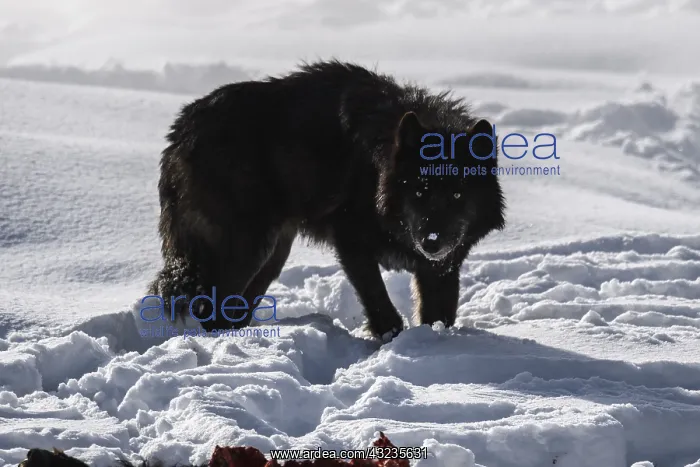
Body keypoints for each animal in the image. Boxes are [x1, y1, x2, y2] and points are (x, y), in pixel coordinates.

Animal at [147, 59, 506, 340]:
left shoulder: (441, 266)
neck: (377, 174)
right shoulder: (350, 241)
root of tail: (180, 130)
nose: (431, 242)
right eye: (419, 191)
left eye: (458, 194)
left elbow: (440, 315)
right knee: (212, 308)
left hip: (272, 255)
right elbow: (379, 302)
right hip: (250, 248)